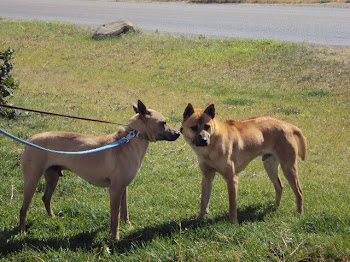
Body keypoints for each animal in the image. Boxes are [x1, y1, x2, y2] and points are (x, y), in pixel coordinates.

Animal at [19, 100, 179, 239]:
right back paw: (22, 232)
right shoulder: (115, 190)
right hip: (32, 181)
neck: (130, 140)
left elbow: (124, 210)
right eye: (163, 122)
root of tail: (30, 140)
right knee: (23, 209)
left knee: (46, 198)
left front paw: (127, 224)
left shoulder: (123, 188)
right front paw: (115, 238)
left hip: (53, 177)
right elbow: (115, 218)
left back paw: (52, 217)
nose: (178, 132)